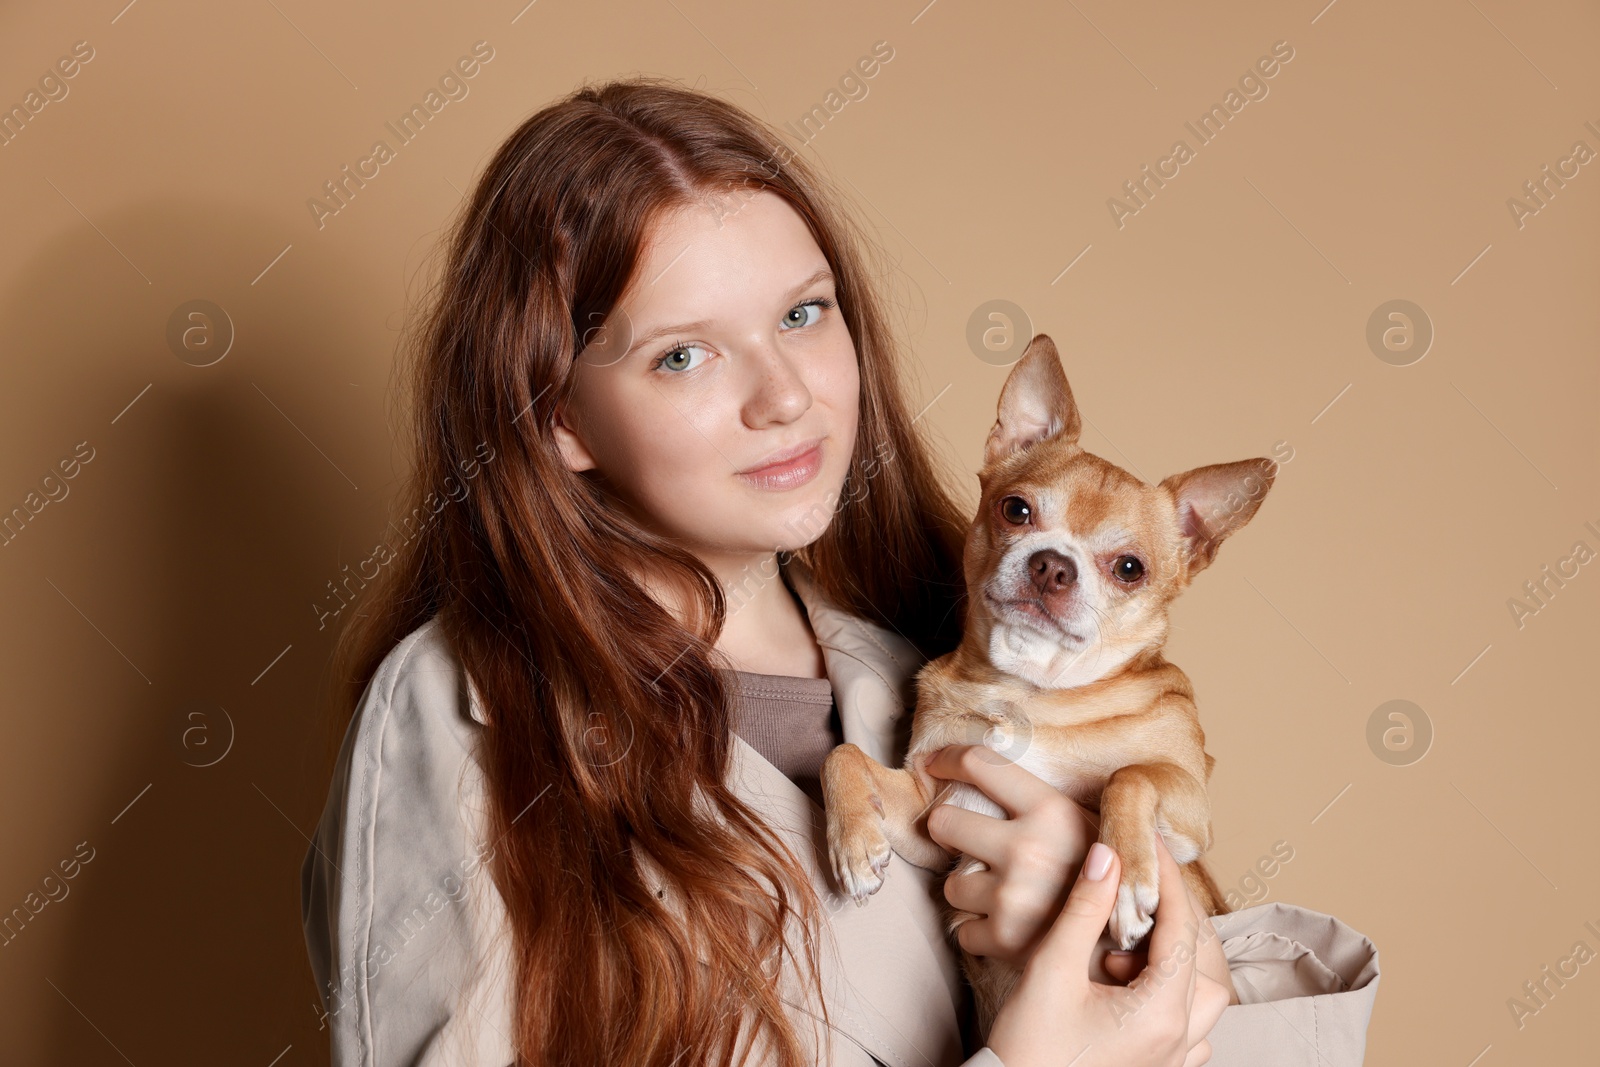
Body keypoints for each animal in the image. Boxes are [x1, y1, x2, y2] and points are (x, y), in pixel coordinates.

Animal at [825, 334, 1273, 1036]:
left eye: (1129, 568)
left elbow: (1130, 775)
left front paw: (1127, 885)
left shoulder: (1191, 812)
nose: (1052, 564)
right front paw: (852, 844)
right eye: (1017, 510)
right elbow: (842, 755)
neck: (1026, 689)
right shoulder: (932, 815)